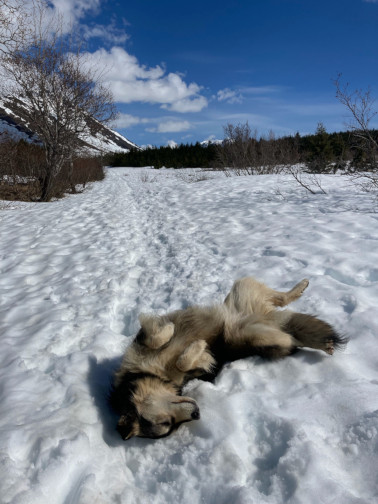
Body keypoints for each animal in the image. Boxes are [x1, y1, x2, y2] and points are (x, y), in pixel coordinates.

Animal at [108, 278, 346, 440]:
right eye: (171, 425)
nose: (197, 414)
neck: (151, 374)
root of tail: (265, 318)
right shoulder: (202, 368)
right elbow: (188, 361)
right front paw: (198, 347)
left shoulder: (142, 340)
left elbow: (159, 338)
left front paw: (174, 332)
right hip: (263, 335)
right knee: (291, 334)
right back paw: (324, 343)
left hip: (242, 290)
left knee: (280, 297)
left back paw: (301, 286)